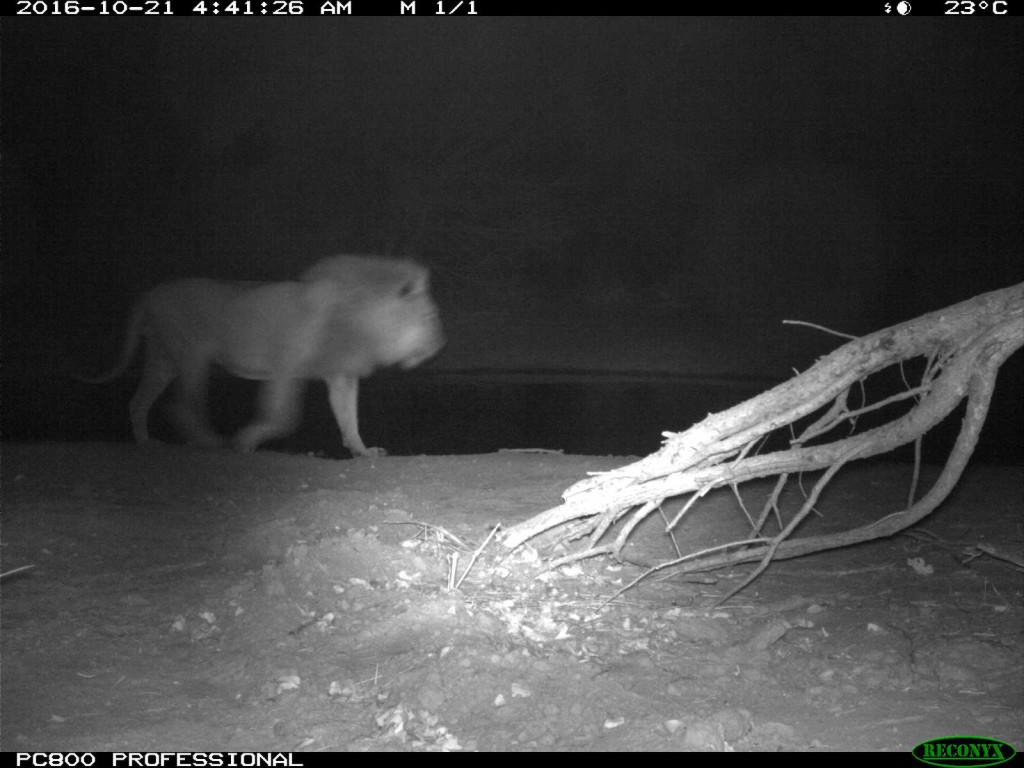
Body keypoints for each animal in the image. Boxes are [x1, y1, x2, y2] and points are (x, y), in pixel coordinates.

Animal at [82, 256, 444, 456]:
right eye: (428, 317)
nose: (440, 345)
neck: (363, 322)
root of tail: (148, 295)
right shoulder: (286, 363)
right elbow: (284, 416)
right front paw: (245, 442)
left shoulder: (341, 375)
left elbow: (348, 416)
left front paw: (363, 451)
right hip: (192, 352)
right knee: (182, 404)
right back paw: (212, 442)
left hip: (163, 359)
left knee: (138, 402)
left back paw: (146, 443)